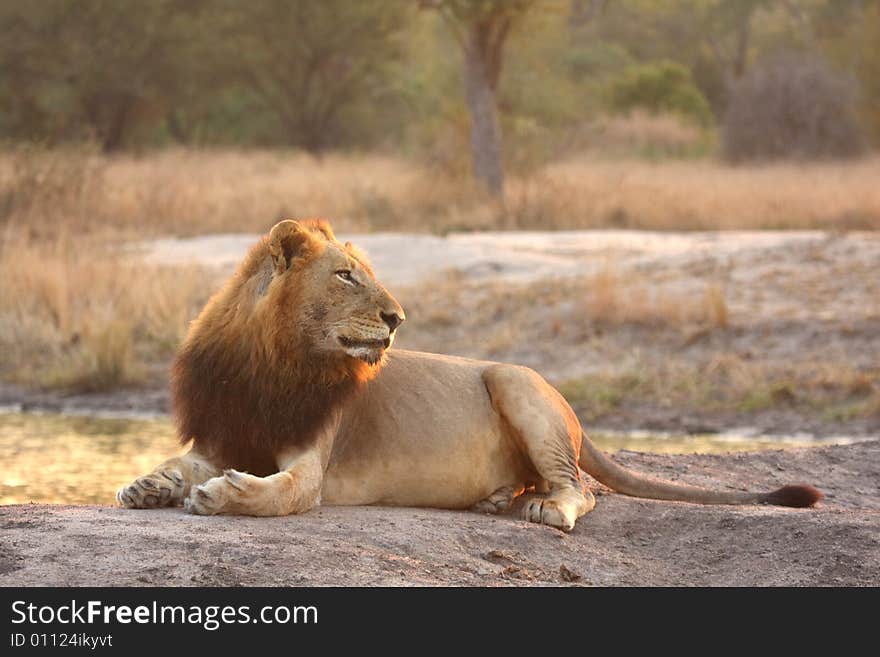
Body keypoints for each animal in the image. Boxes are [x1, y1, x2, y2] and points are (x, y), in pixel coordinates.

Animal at [113, 218, 820, 532]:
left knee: (582, 490)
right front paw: (146, 485)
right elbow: (178, 463)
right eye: (346, 276)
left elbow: (281, 492)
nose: (397, 317)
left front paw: (222, 496)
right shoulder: (222, 433)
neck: (271, 359)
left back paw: (545, 508)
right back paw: (495, 497)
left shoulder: (311, 466)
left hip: (514, 382)